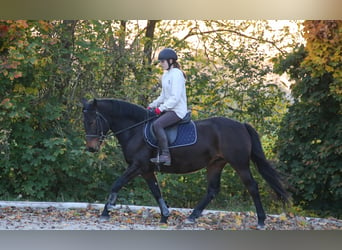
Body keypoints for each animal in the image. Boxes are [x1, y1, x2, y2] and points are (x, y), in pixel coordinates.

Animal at [81, 97, 290, 229]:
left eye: (92, 122)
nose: (91, 148)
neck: (136, 130)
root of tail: (242, 125)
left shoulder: (137, 166)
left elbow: (116, 184)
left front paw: (105, 212)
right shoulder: (146, 169)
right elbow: (156, 191)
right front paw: (165, 216)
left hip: (240, 164)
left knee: (252, 187)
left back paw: (261, 221)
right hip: (215, 164)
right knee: (212, 190)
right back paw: (192, 217)